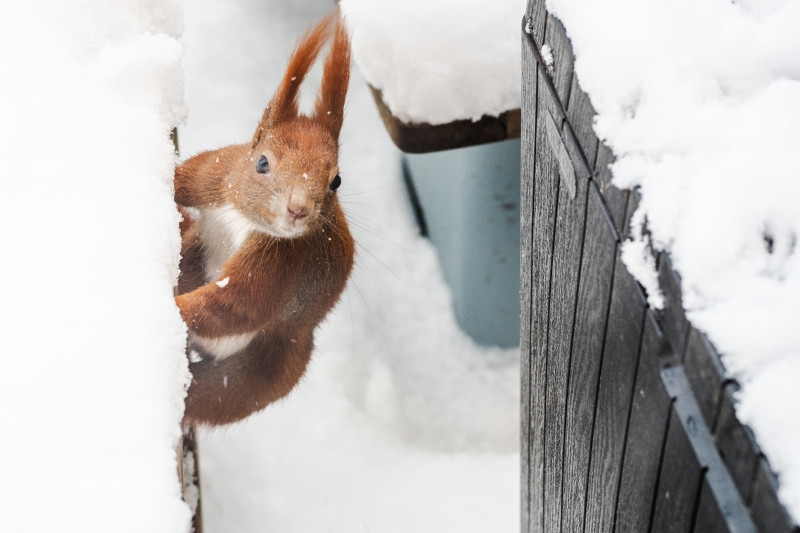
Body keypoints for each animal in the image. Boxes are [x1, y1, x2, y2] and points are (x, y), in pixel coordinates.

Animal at [175, 13, 354, 424]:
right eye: (261, 163)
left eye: (336, 180)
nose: (298, 210)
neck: (244, 219)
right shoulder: (217, 172)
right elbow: (181, 181)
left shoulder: (282, 262)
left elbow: (236, 304)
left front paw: (171, 308)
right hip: (194, 257)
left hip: (259, 375)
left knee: (208, 396)